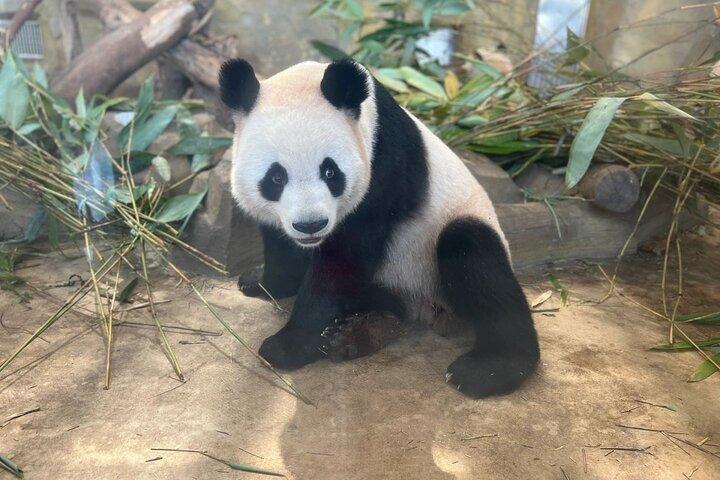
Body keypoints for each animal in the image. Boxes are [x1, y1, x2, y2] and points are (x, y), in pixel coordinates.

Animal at [218, 57, 540, 398]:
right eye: (276, 177)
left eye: (330, 172)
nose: (311, 224)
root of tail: (425, 309)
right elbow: (281, 246)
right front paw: (260, 282)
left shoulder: (383, 165)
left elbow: (343, 260)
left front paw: (287, 346)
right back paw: (357, 333)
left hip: (445, 237)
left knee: (475, 257)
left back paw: (489, 369)